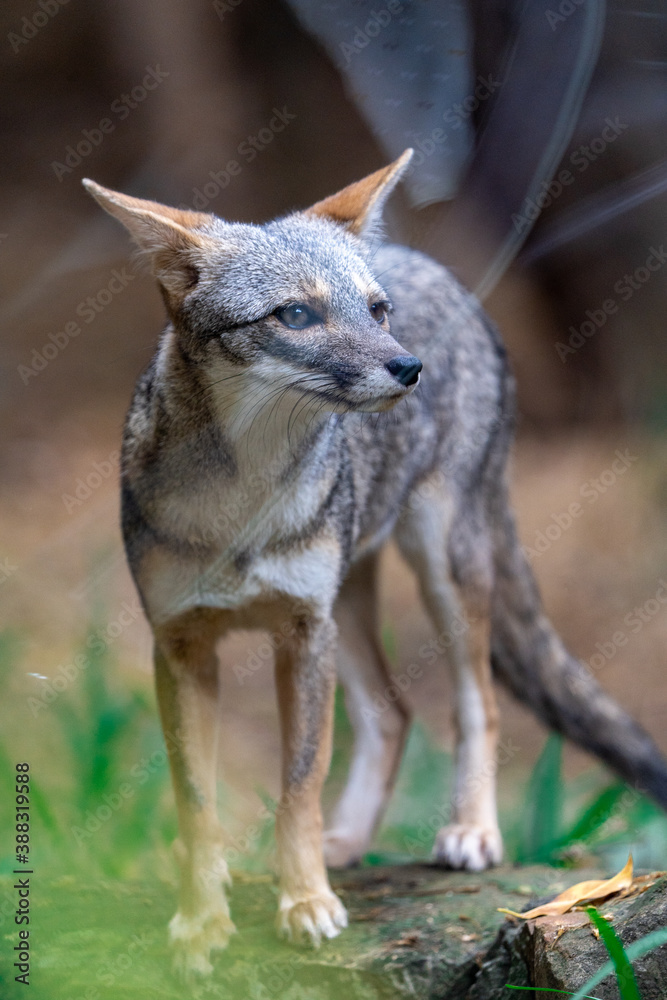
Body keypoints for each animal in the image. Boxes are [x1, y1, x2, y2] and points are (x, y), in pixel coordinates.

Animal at [83, 152, 667, 977]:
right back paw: (351, 843)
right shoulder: (182, 644)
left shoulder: (302, 632)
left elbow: (298, 786)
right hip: (352, 600)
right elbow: (196, 805)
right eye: (295, 315)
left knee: (475, 703)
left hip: (439, 567)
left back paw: (470, 833)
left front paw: (303, 904)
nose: (407, 366)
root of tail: (432, 265)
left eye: (374, 310)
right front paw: (201, 922)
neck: (239, 502)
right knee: (392, 713)